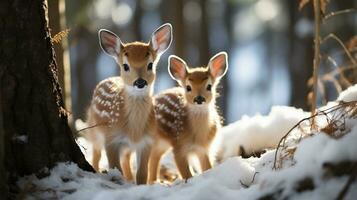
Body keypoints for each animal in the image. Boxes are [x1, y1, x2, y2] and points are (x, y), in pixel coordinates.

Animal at [84, 23, 172, 184]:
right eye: (125, 66)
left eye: (150, 65)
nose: (140, 82)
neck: (134, 131)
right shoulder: (111, 137)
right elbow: (115, 168)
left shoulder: (147, 141)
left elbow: (142, 173)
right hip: (93, 129)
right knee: (96, 154)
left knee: (125, 159)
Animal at [148, 51, 228, 183]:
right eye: (188, 87)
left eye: (209, 86)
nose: (199, 98)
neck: (198, 137)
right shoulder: (179, 145)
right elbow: (186, 174)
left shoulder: (204, 148)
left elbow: (207, 167)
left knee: (155, 155)